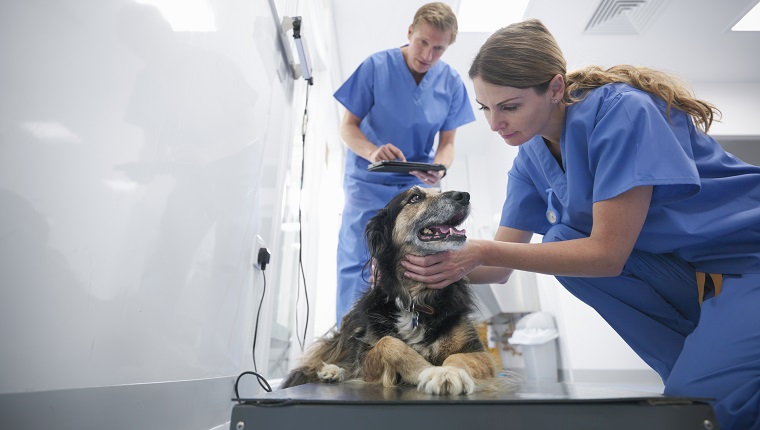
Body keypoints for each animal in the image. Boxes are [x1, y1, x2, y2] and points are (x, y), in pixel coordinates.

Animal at [280, 186, 498, 394]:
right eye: (415, 198)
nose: (464, 196)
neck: (415, 300)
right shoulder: (365, 357)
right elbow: (387, 343)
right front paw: (425, 369)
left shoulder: (477, 352)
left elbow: (459, 359)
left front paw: (446, 372)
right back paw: (332, 371)